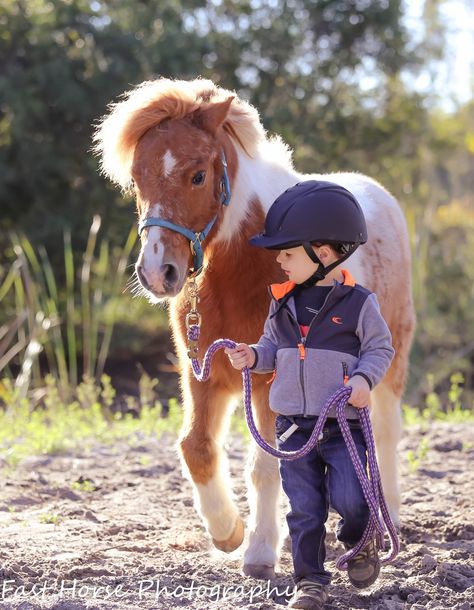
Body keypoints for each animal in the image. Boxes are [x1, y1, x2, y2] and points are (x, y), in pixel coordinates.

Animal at [93, 78, 414, 576]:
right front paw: (227, 533)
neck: (239, 269)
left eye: (198, 176)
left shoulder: (267, 383)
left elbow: (266, 466)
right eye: (137, 179)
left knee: (383, 432)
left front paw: (260, 552)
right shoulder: (202, 374)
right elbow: (196, 447)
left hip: (390, 362)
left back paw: (388, 520)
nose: (158, 273)